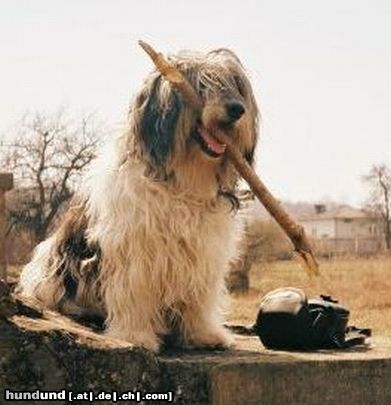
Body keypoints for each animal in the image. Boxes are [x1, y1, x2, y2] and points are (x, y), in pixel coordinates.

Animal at [16, 46, 258, 350]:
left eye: (235, 86)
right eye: (201, 85)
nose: (237, 109)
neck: (183, 180)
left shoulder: (204, 253)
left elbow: (198, 299)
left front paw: (204, 334)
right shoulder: (134, 251)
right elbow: (134, 293)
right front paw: (136, 337)